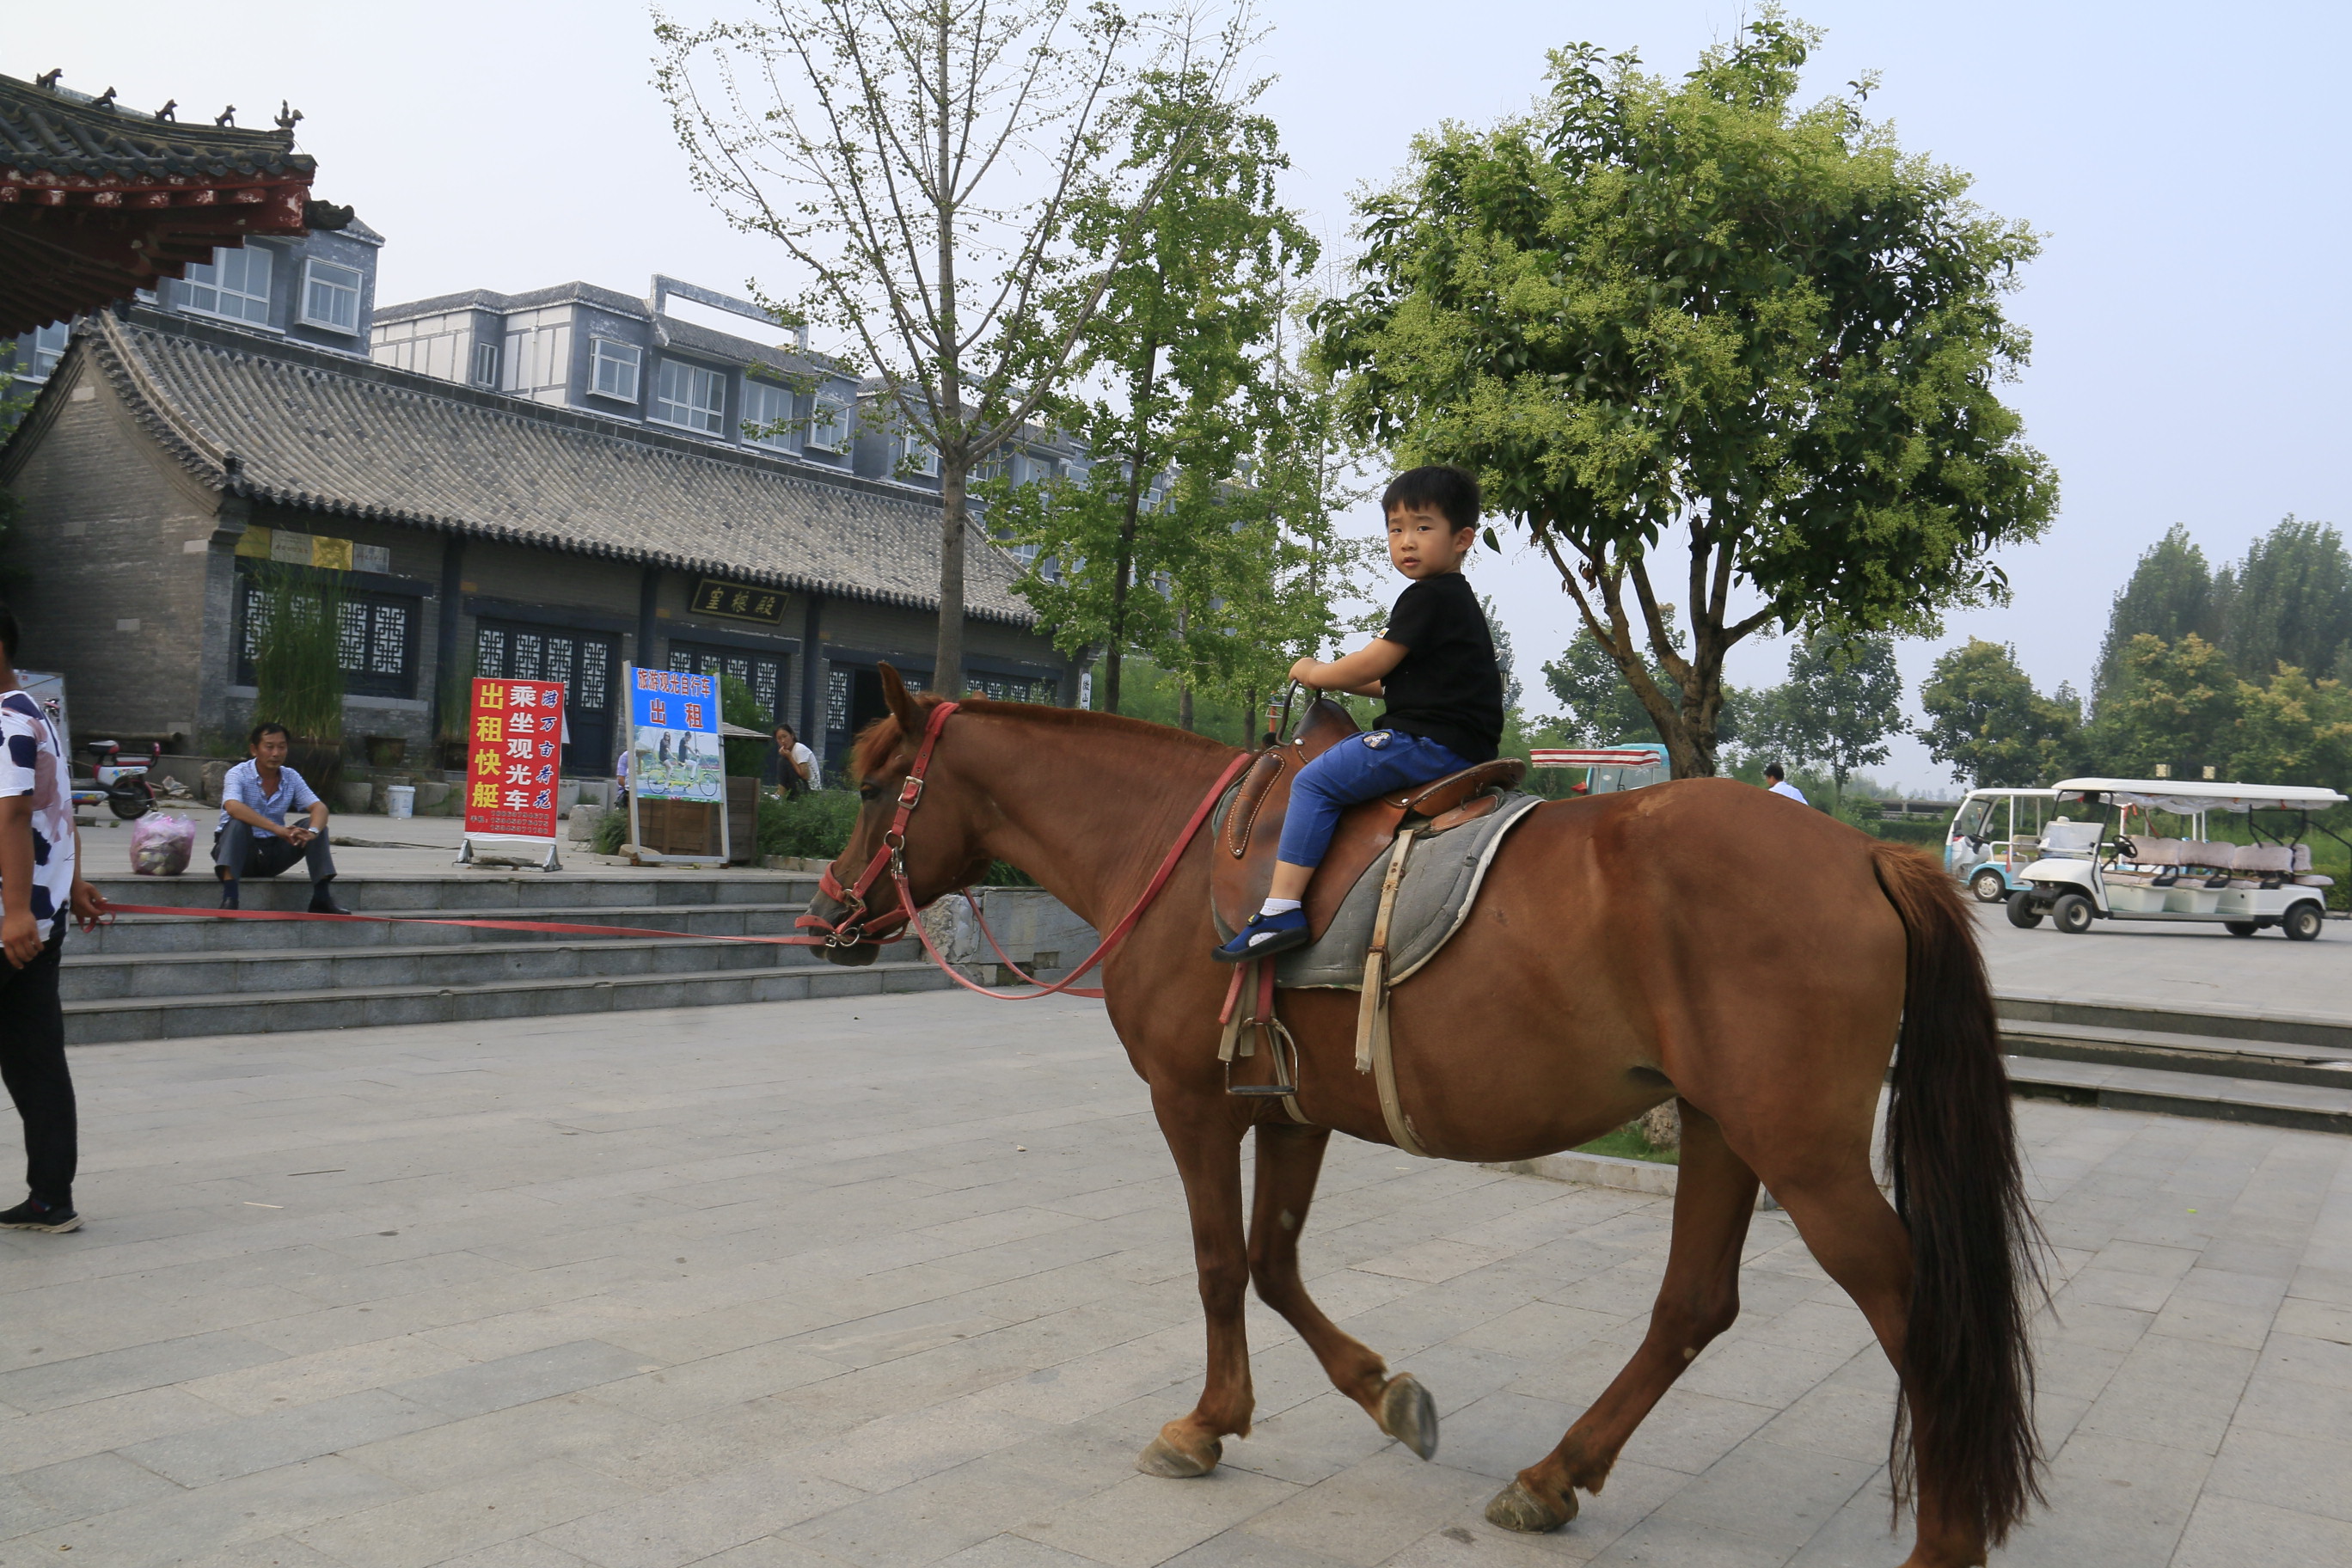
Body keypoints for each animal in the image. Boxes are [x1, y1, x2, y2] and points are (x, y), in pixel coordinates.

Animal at [809, 672, 2041, 1568]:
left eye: (871, 790)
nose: (826, 918)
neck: (1168, 845)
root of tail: (1872, 852)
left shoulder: (1192, 1102)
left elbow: (1218, 1263)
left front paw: (1204, 1423)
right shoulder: (1291, 1109)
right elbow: (1273, 1264)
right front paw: (1385, 1395)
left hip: (1800, 1146)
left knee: (1912, 1303)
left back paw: (1943, 1543)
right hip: (1721, 1123)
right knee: (1694, 1303)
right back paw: (1551, 1478)